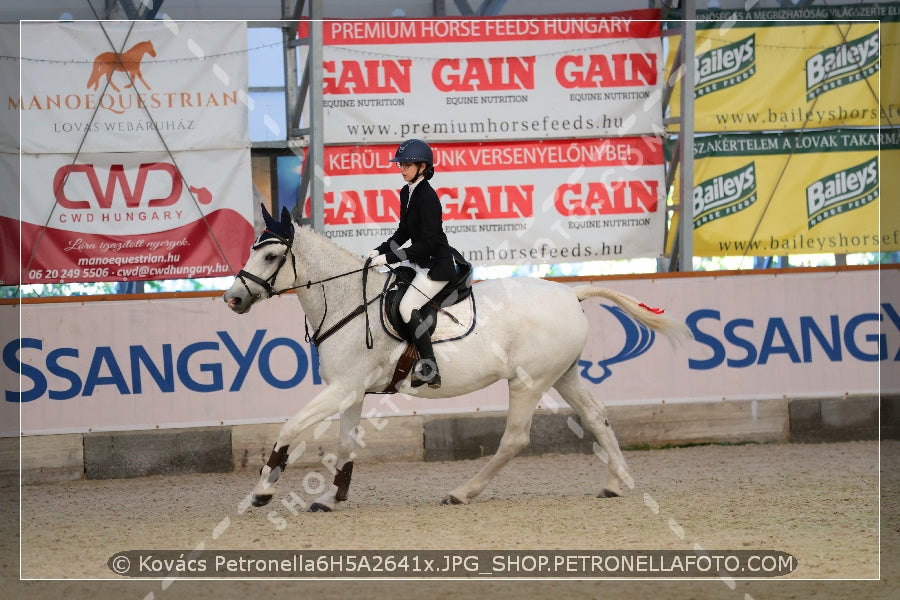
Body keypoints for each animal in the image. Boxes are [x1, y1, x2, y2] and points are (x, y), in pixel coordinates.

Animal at [223, 207, 688, 510]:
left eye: (270, 255)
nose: (233, 299)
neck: (347, 301)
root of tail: (570, 294)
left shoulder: (342, 388)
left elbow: (289, 427)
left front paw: (262, 491)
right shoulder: (350, 391)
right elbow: (345, 444)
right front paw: (332, 497)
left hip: (529, 382)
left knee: (515, 438)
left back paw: (463, 492)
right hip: (563, 375)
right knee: (596, 416)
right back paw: (617, 483)